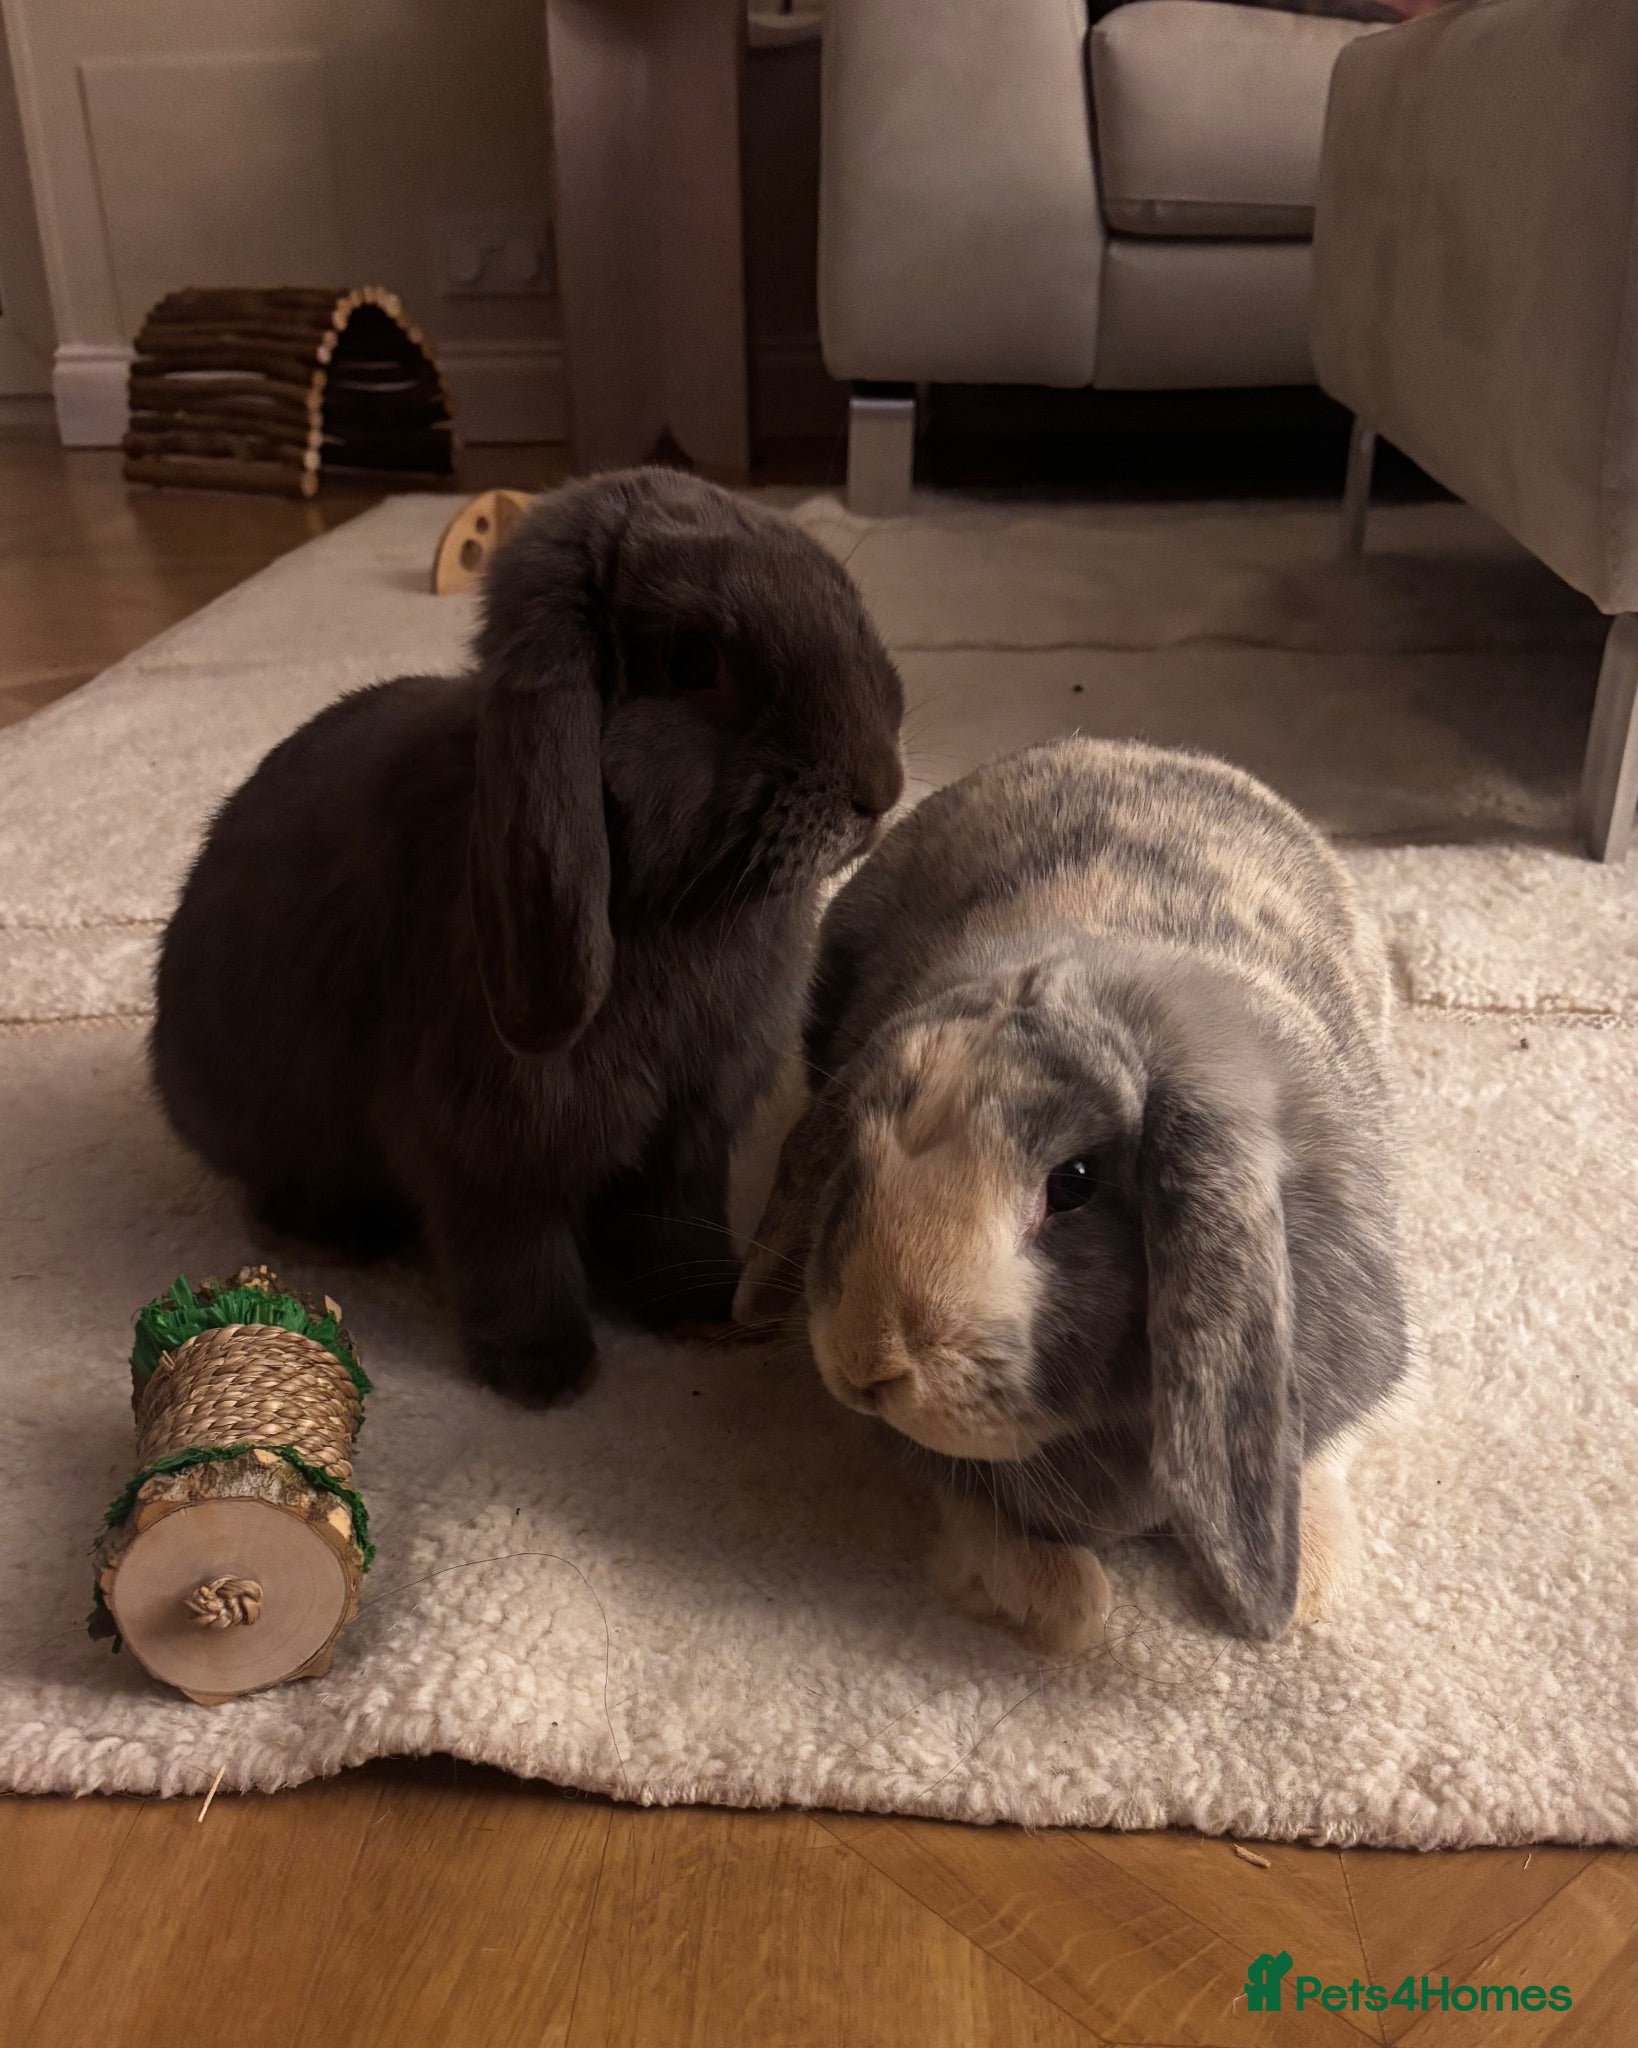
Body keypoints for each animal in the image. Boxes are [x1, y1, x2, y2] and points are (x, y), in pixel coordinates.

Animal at [152, 467, 905, 1404]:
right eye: (693, 663)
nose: (881, 788)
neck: (677, 910)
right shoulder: (487, 1149)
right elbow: (516, 1252)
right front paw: (543, 1374)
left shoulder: (693, 1131)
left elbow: (679, 1221)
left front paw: (703, 1311)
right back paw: (343, 1237)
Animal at [734, 738, 1408, 1646]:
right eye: (854, 1159)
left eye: (1074, 1185)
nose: (867, 1363)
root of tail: (1123, 747)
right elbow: (984, 1521)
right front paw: (1071, 1610)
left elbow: (1323, 1451)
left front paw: (1310, 1590)